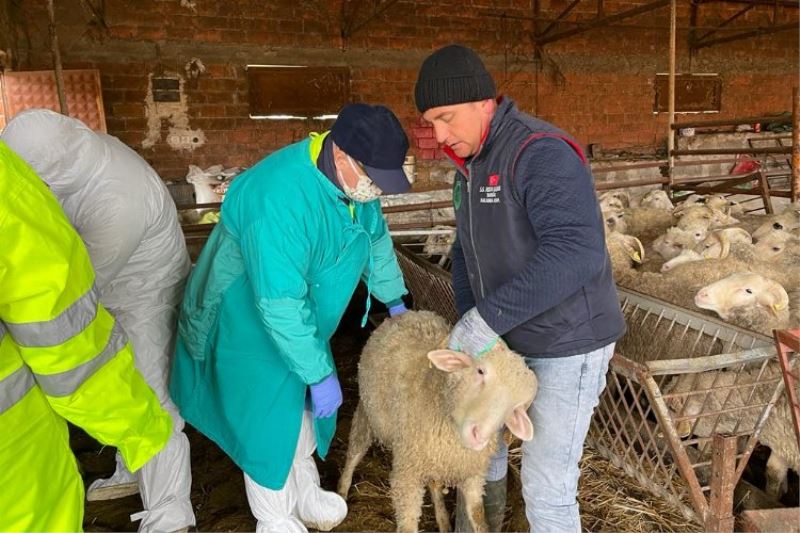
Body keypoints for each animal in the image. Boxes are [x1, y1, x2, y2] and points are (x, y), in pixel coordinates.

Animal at [338, 310, 536, 528]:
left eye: (516, 408)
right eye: (480, 371)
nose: (478, 436)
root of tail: (409, 313)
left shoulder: (473, 476)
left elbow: (478, 515)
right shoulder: (407, 474)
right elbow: (407, 524)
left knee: (434, 483)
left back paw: (443, 520)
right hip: (366, 412)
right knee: (354, 451)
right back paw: (341, 490)